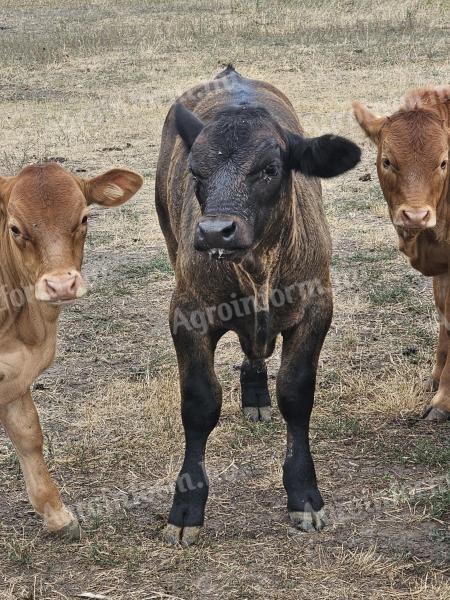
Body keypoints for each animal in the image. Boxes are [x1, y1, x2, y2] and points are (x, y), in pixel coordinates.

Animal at [0, 162, 142, 536]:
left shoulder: (15, 373)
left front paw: (56, 514)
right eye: (15, 228)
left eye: (83, 218)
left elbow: (28, 434)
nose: (61, 284)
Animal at [354, 86, 450, 420]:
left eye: (444, 162)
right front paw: (436, 378)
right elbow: (444, 315)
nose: (416, 216)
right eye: (387, 161)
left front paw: (445, 400)